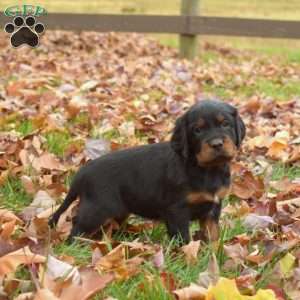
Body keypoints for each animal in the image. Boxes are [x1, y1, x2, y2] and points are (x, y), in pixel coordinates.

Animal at [49, 99, 245, 245]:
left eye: (225, 124)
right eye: (197, 130)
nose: (217, 144)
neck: (206, 169)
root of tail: (82, 172)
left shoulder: (212, 209)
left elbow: (213, 236)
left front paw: (213, 258)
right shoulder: (177, 210)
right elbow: (184, 239)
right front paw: (189, 260)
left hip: (117, 211)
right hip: (97, 208)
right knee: (77, 227)